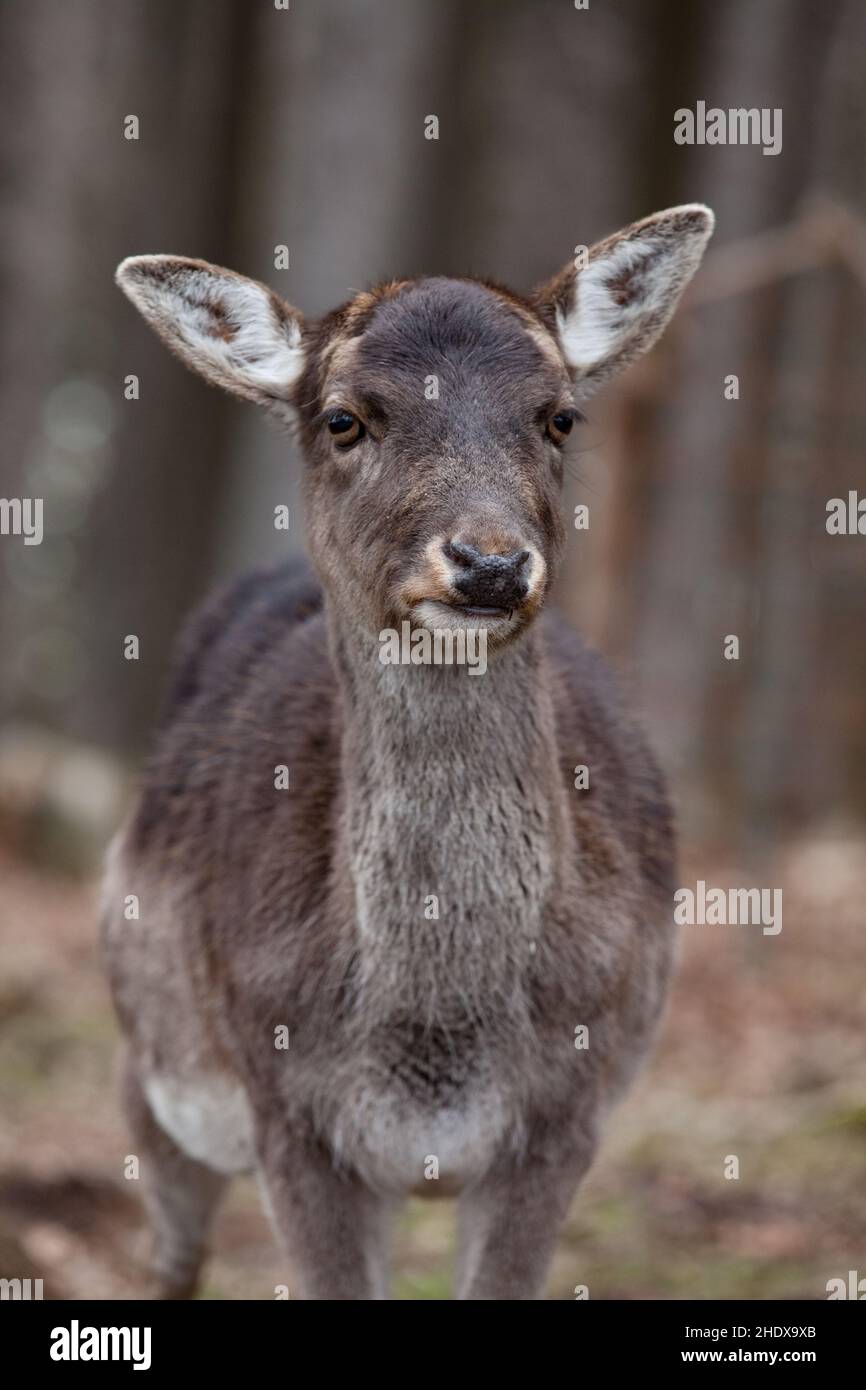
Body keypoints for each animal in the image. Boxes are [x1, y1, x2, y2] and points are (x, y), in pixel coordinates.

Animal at [101, 201, 717, 1295]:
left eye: (559, 416)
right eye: (345, 418)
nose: (488, 563)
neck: (439, 1028)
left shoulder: (566, 1114)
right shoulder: (288, 1115)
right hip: (150, 1077)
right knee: (170, 1254)